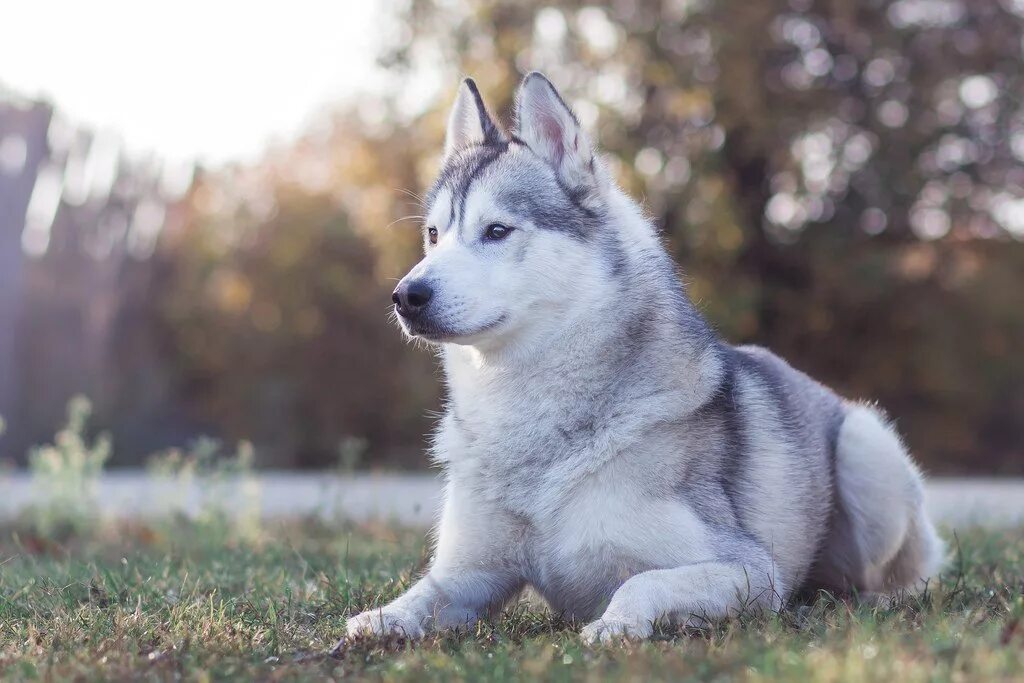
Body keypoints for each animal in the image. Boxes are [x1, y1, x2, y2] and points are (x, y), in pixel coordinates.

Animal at [344, 74, 942, 647]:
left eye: (496, 231)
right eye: (433, 234)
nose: (405, 296)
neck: (528, 413)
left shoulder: (751, 570)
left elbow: (641, 581)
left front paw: (616, 626)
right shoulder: (471, 574)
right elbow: (424, 593)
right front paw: (381, 619)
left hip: (867, 448)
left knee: (899, 576)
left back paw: (871, 600)